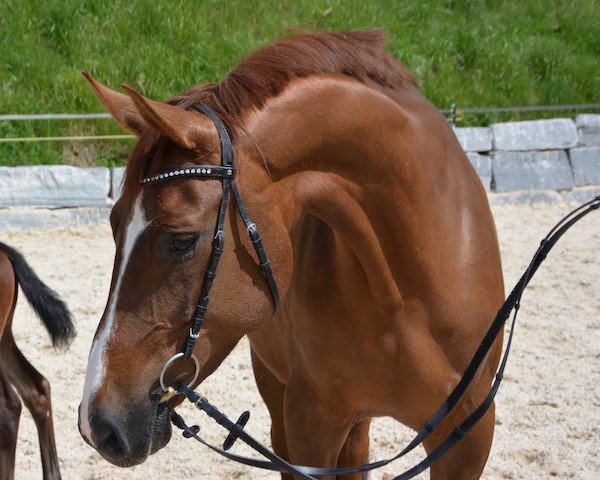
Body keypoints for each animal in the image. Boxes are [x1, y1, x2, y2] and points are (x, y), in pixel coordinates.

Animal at [77, 31, 504, 480]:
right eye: (113, 225)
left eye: (181, 241)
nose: (96, 423)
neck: (407, 293)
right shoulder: (309, 422)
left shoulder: (468, 437)